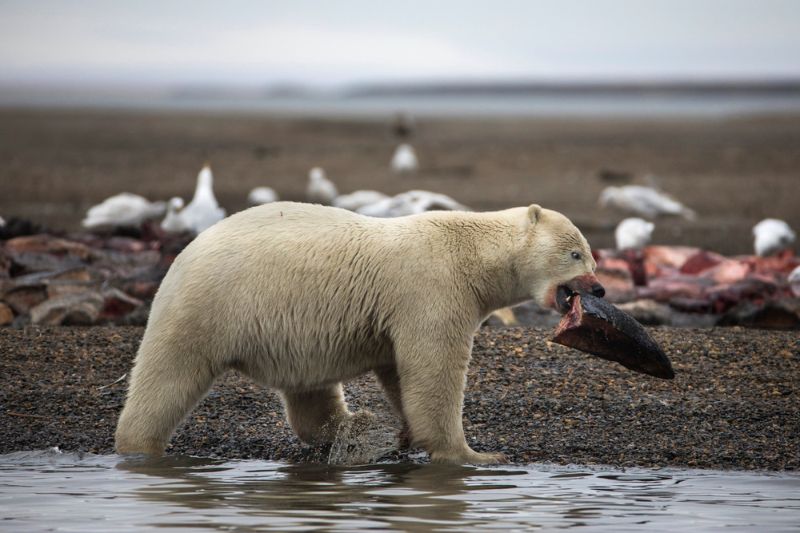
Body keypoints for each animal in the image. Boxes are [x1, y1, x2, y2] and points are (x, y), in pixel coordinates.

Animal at [112, 200, 604, 462]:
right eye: (576, 253)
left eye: (590, 254)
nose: (599, 287)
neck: (473, 255)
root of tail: (182, 253)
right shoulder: (432, 288)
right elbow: (435, 369)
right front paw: (473, 454)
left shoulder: (400, 314)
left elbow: (400, 372)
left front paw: (406, 433)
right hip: (209, 305)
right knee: (168, 375)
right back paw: (138, 445)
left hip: (287, 330)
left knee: (310, 393)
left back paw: (349, 426)